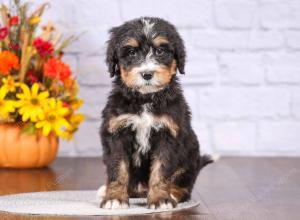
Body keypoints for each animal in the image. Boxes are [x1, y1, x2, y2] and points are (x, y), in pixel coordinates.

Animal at [98, 16, 213, 210]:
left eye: (160, 51)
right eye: (131, 53)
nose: (147, 74)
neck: (145, 99)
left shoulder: (169, 133)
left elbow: (161, 168)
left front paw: (160, 199)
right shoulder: (116, 130)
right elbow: (117, 166)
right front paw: (114, 197)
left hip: (190, 157)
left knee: (184, 187)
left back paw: (173, 193)